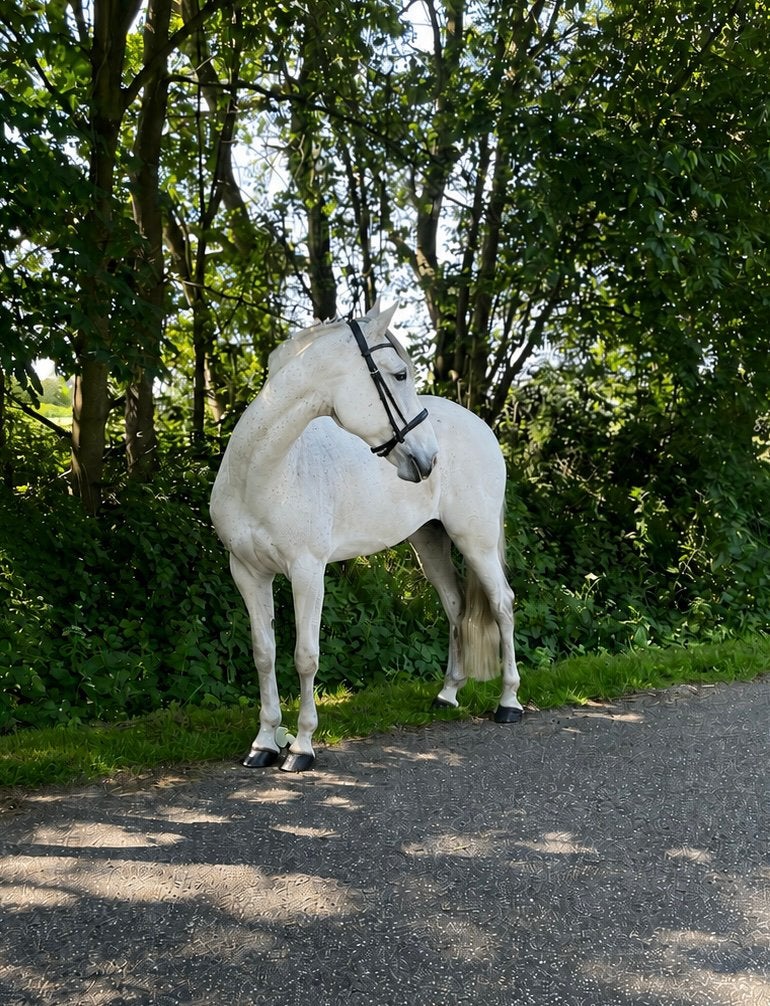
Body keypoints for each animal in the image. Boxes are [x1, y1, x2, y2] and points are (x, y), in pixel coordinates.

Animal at [210, 302, 523, 772]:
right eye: (399, 374)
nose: (430, 458)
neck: (264, 474)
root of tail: (481, 426)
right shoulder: (247, 573)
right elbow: (264, 654)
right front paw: (264, 744)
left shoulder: (307, 572)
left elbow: (305, 657)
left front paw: (301, 747)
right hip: (430, 544)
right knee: (455, 607)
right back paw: (447, 694)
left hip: (476, 541)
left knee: (502, 604)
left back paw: (509, 703)